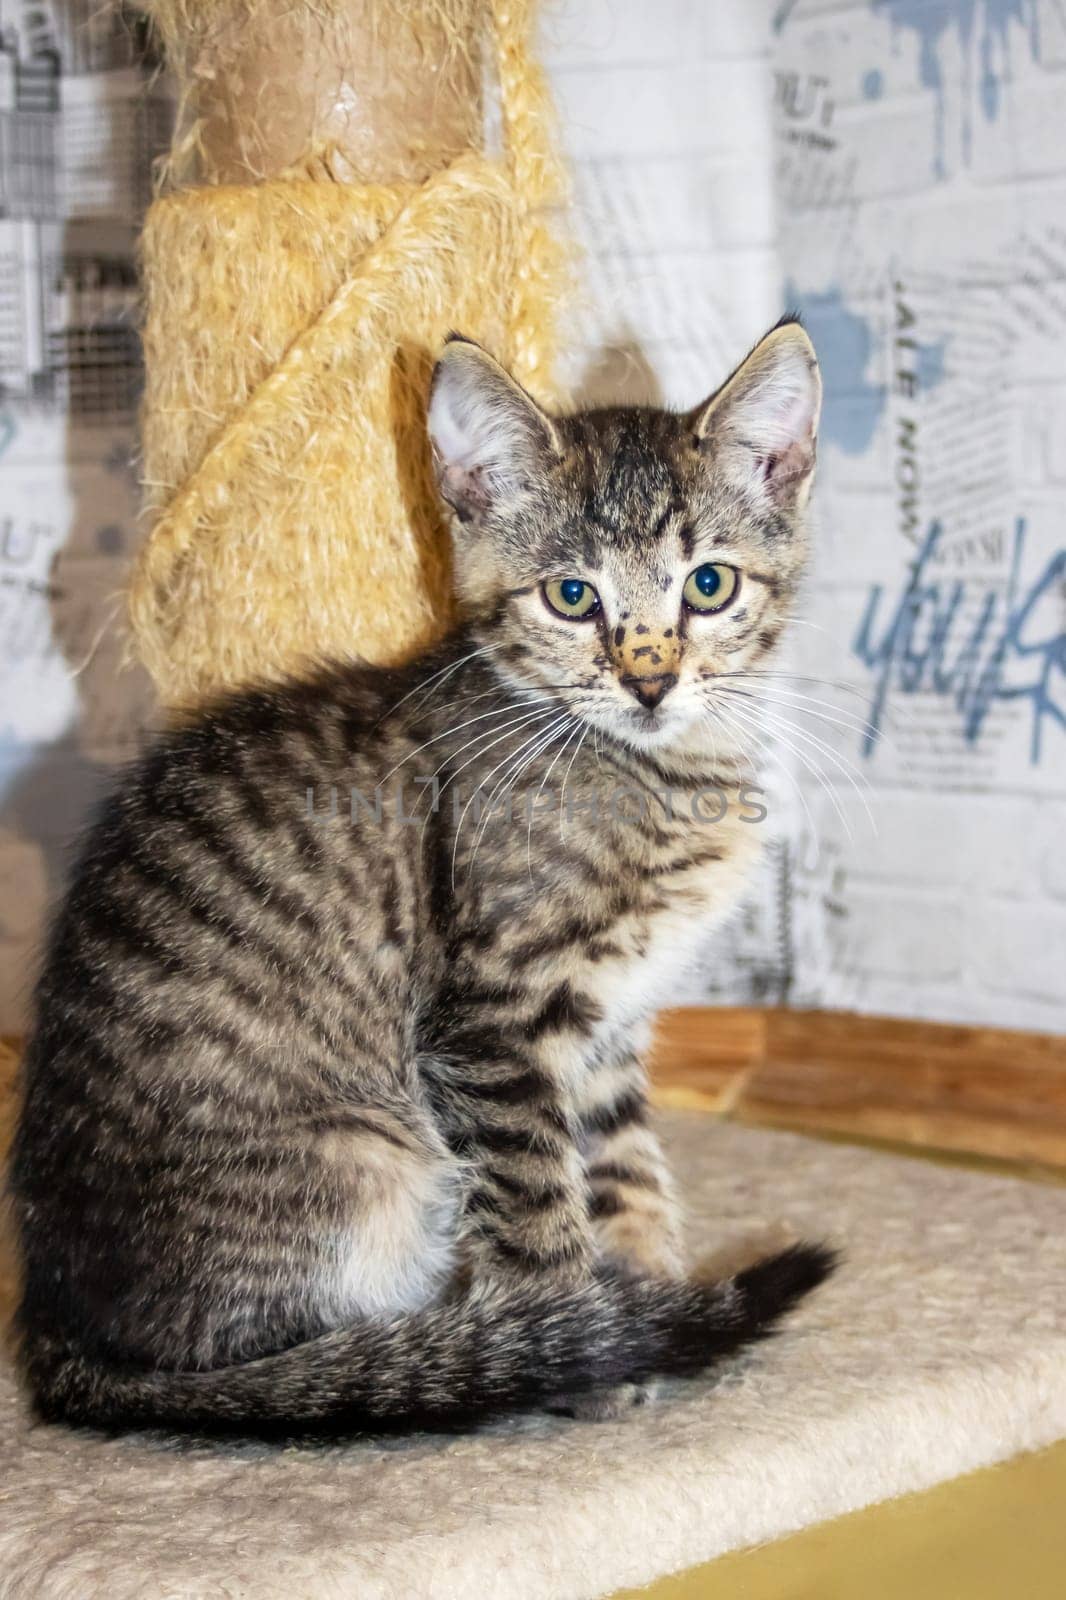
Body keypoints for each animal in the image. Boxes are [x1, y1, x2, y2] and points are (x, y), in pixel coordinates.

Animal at [12, 318, 832, 1433]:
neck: (654, 768)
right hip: (371, 1163)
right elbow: (535, 1197)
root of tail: (54, 1323)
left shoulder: (609, 1022)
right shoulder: (492, 1015)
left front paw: (646, 1295)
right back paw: (452, 1358)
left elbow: (623, 1166)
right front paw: (572, 1345)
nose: (651, 679)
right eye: (572, 597)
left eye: (709, 584)